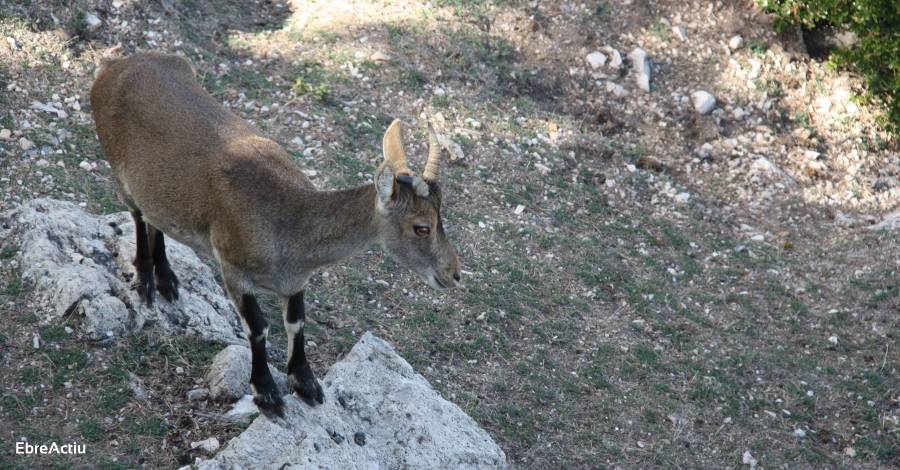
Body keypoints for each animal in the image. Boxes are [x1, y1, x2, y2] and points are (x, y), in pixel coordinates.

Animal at [91, 52, 460, 418]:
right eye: (422, 227)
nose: (454, 275)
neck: (288, 225)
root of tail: (113, 68)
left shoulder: (295, 281)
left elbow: (296, 322)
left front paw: (307, 384)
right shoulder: (233, 269)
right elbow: (258, 327)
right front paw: (267, 393)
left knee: (155, 217)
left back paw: (167, 280)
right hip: (119, 169)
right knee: (137, 214)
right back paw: (145, 281)